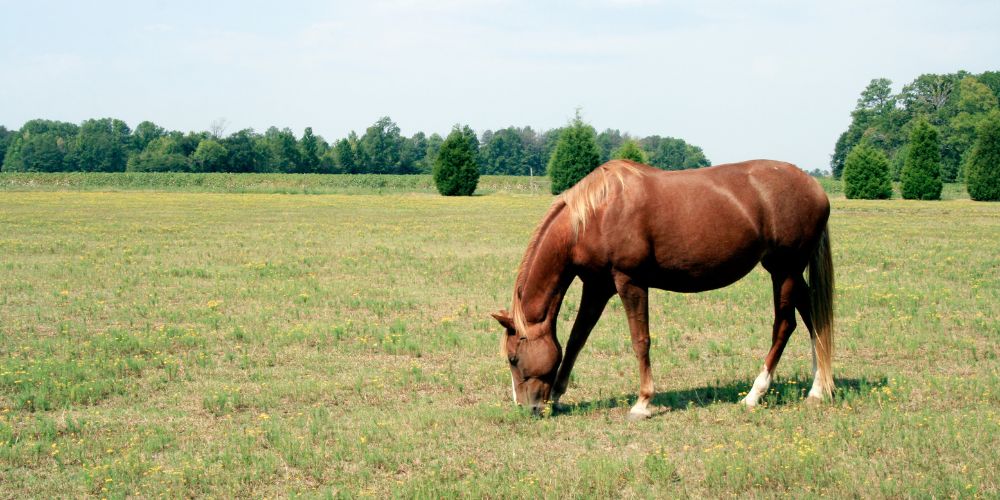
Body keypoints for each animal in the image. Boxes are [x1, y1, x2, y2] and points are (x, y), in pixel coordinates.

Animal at [494, 160, 836, 418]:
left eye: (513, 358)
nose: (527, 407)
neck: (597, 214)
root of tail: (817, 189)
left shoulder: (630, 281)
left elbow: (640, 341)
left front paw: (643, 402)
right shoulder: (597, 285)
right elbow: (577, 338)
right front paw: (558, 395)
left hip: (784, 271)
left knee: (785, 326)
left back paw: (755, 394)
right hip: (791, 272)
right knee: (813, 320)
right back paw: (818, 389)